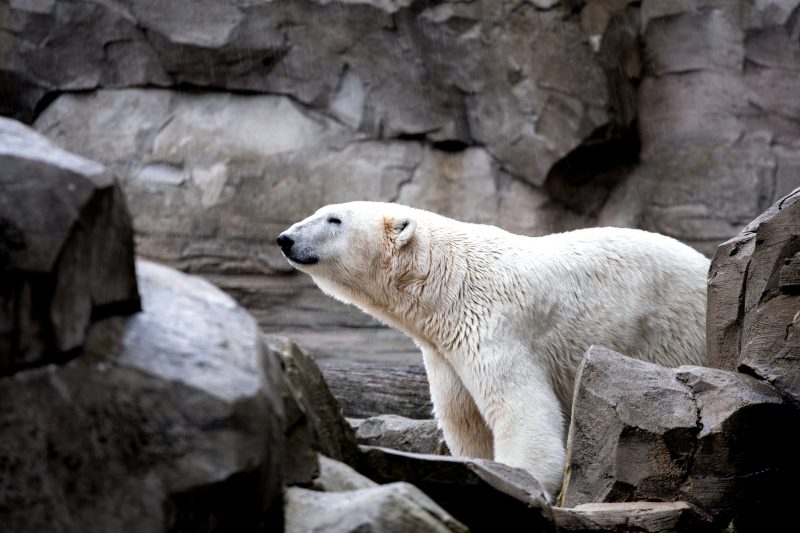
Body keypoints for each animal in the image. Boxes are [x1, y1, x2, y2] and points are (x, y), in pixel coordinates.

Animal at [277, 201, 709, 499]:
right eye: (317, 213)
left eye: (334, 219)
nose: (285, 239)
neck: (445, 279)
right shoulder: (444, 348)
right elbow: (464, 417)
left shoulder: (493, 326)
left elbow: (520, 409)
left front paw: (522, 479)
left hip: (673, 328)